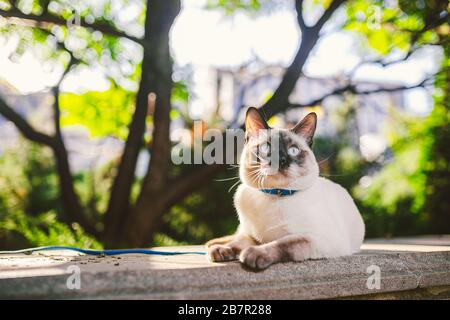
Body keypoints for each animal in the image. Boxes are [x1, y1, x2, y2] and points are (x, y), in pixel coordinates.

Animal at [207, 107, 366, 270]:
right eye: (266, 147)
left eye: (293, 150)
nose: (281, 161)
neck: (275, 193)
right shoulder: (252, 235)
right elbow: (239, 242)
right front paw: (222, 250)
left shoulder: (319, 238)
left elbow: (283, 243)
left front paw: (253, 254)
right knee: (235, 235)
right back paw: (214, 245)